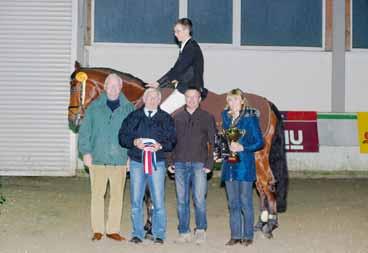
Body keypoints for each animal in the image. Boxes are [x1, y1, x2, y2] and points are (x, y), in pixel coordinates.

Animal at [68, 61, 288, 239]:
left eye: (75, 87)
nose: (72, 118)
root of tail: (267, 103)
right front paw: (149, 226)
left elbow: (149, 194)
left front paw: (149, 227)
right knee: (261, 185)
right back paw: (261, 223)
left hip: (258, 155)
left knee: (268, 183)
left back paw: (270, 225)